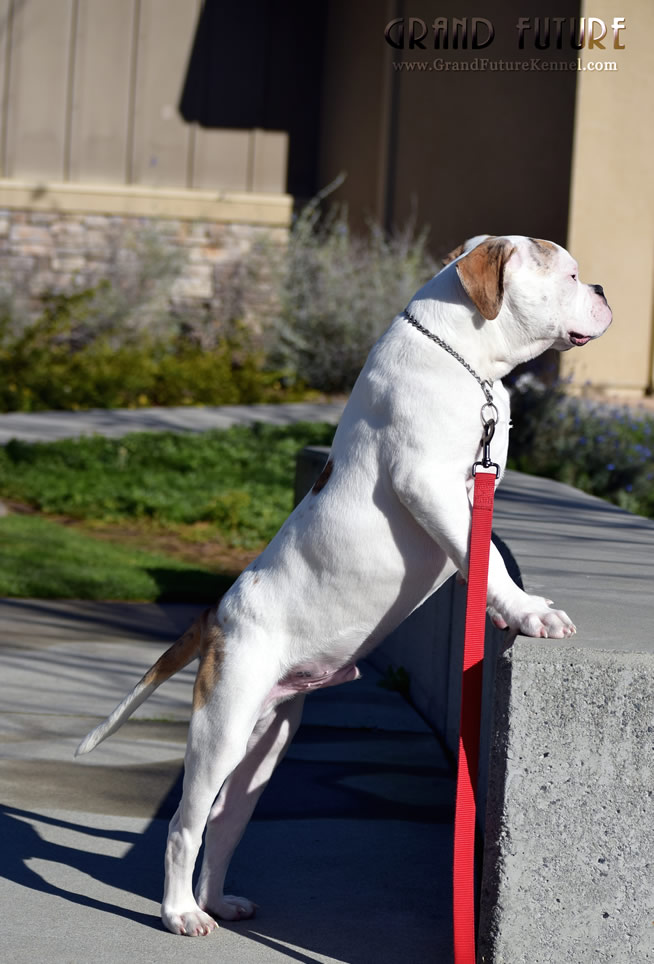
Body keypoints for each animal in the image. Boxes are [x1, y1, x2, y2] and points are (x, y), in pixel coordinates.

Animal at [77, 233, 616, 932]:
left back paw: (217, 900)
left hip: (265, 744)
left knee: (225, 823)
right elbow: (489, 561)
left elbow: (484, 552)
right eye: (571, 275)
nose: (603, 290)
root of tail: (217, 612)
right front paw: (527, 612)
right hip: (221, 726)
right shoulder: (428, 482)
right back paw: (180, 913)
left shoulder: (478, 483)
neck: (464, 353)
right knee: (184, 826)